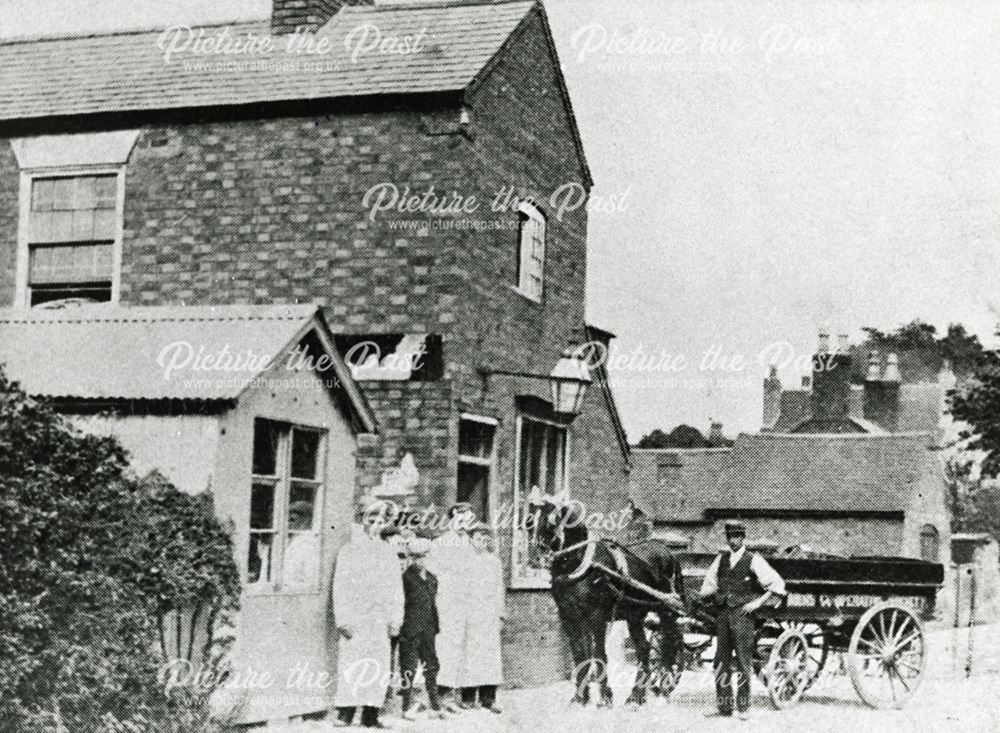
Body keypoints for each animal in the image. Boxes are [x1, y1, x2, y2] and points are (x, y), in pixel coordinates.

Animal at [532, 492, 688, 704]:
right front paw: (580, 697)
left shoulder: (596, 616)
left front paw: (605, 698)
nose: (535, 558)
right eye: (529, 522)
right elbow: (579, 654)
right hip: (634, 615)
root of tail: (669, 553)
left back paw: (662, 686)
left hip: (665, 609)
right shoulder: (568, 617)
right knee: (644, 647)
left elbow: (598, 654)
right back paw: (637, 695)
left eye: (550, 523)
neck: (581, 564)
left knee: (670, 643)